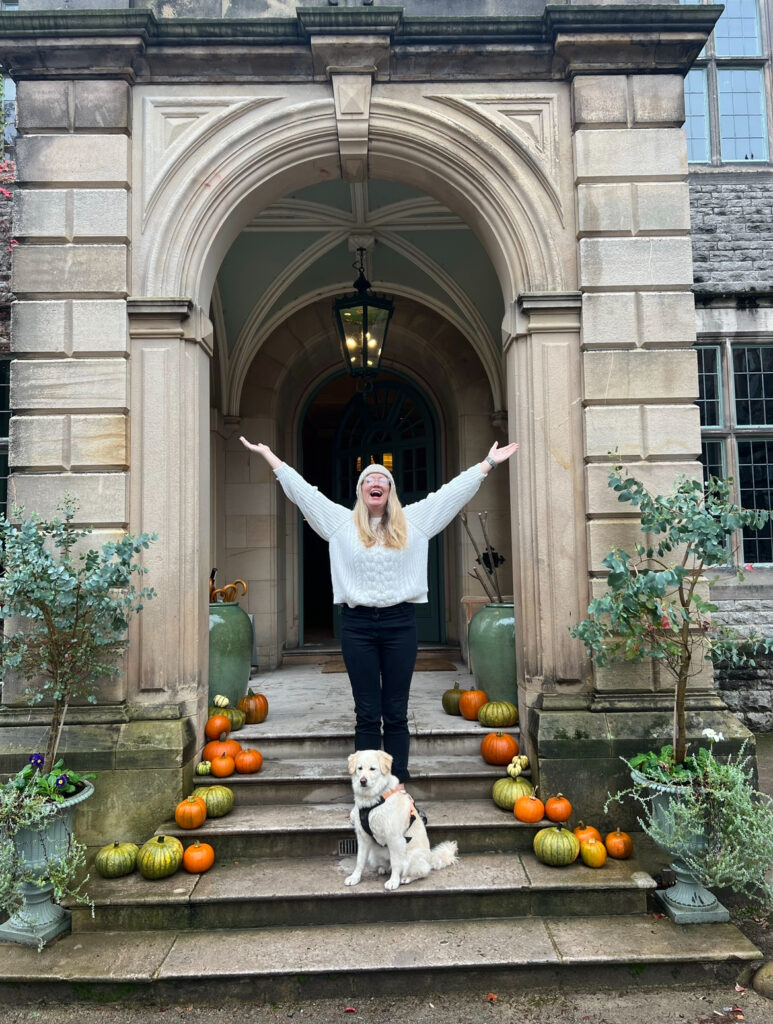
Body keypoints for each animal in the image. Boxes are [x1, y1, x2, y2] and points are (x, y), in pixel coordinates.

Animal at [344, 749, 458, 892]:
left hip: (412, 857)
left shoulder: (394, 839)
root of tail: (430, 857)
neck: (373, 800)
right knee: (387, 865)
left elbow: (396, 863)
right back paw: (383, 869)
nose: (362, 781)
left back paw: (405, 878)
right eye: (360, 768)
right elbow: (359, 861)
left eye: (372, 769)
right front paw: (354, 878)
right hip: (374, 854)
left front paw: (393, 881)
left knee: (422, 872)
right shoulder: (363, 838)